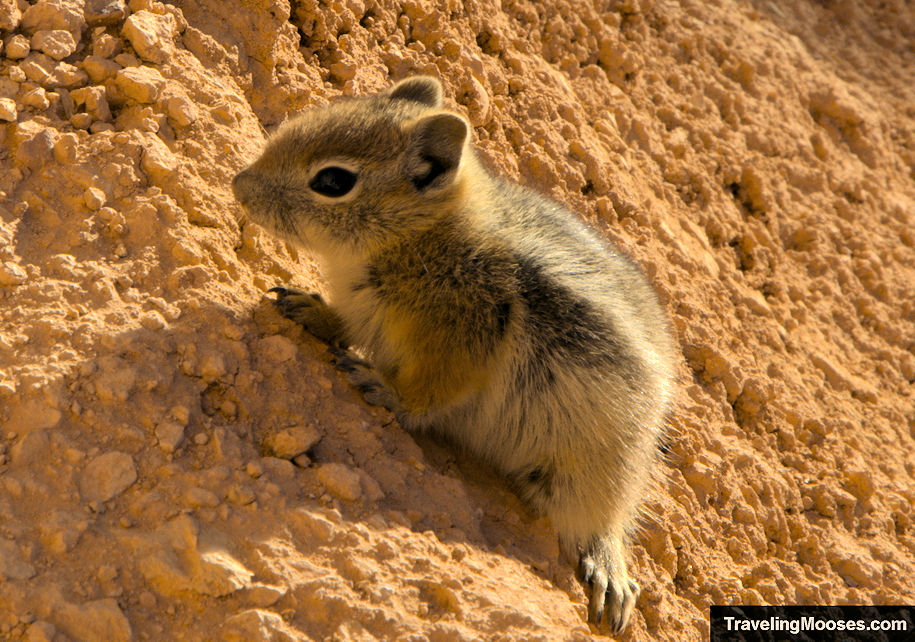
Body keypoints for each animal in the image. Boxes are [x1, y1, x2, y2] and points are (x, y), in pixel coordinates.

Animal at [234, 75, 680, 632]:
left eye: (333, 181)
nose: (238, 186)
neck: (425, 235)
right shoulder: (363, 312)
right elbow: (342, 324)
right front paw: (307, 309)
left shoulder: (460, 339)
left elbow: (427, 393)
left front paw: (381, 387)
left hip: (593, 465)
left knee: (601, 521)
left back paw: (610, 570)